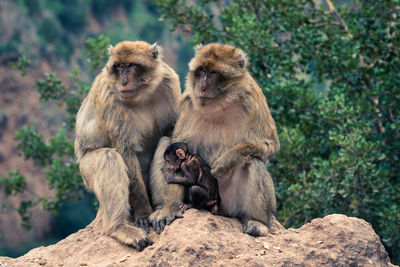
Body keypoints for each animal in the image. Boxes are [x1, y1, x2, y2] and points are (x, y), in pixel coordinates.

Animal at [74, 40, 180, 251]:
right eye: (119, 66)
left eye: (130, 65)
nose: (123, 82)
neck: (143, 95)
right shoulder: (110, 96)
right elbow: (125, 151)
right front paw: (143, 214)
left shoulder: (169, 82)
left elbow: (172, 134)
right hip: (85, 173)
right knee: (108, 158)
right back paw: (120, 227)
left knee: (166, 142)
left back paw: (163, 208)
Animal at [148, 43, 280, 238]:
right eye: (202, 70)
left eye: (212, 73)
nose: (202, 87)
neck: (219, 104)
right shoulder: (188, 102)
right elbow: (176, 144)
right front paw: (169, 209)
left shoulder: (253, 99)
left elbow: (270, 143)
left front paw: (228, 160)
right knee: (165, 140)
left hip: (230, 205)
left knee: (253, 161)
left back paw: (257, 222)